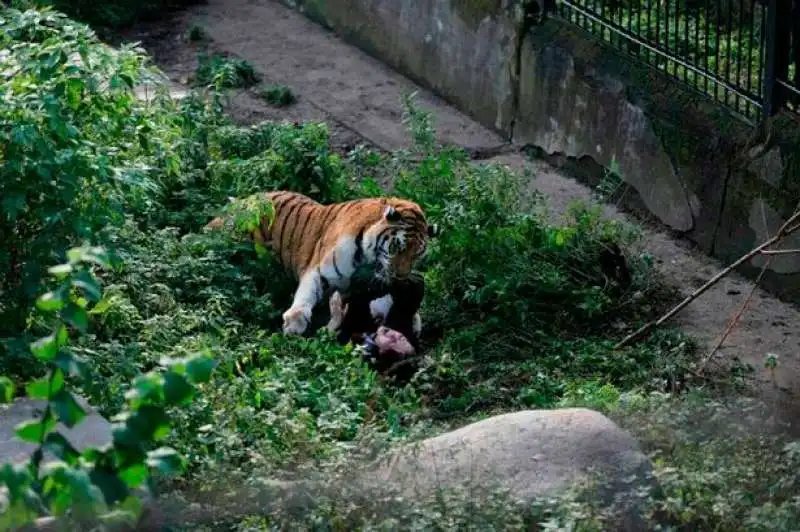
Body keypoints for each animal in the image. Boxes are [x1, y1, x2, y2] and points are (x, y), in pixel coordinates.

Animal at [203, 189, 434, 334]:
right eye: (397, 248)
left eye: (417, 255)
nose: (401, 277)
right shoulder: (321, 270)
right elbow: (307, 293)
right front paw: (295, 320)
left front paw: (414, 321)